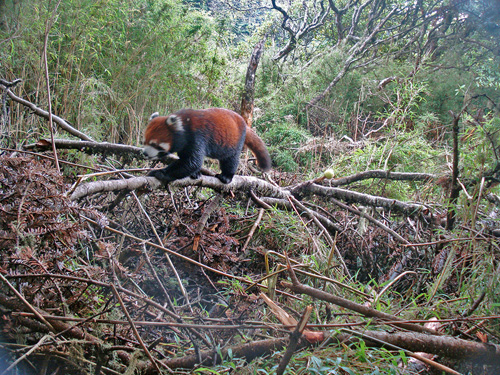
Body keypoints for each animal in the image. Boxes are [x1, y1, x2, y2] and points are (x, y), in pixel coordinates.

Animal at [143, 108, 272, 184]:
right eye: (145, 142)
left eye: (154, 144)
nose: (144, 153)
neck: (184, 127)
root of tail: (244, 123)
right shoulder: (185, 146)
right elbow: (189, 162)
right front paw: (195, 173)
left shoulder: (197, 137)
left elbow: (192, 162)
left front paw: (161, 173)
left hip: (235, 141)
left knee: (230, 160)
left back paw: (227, 176)